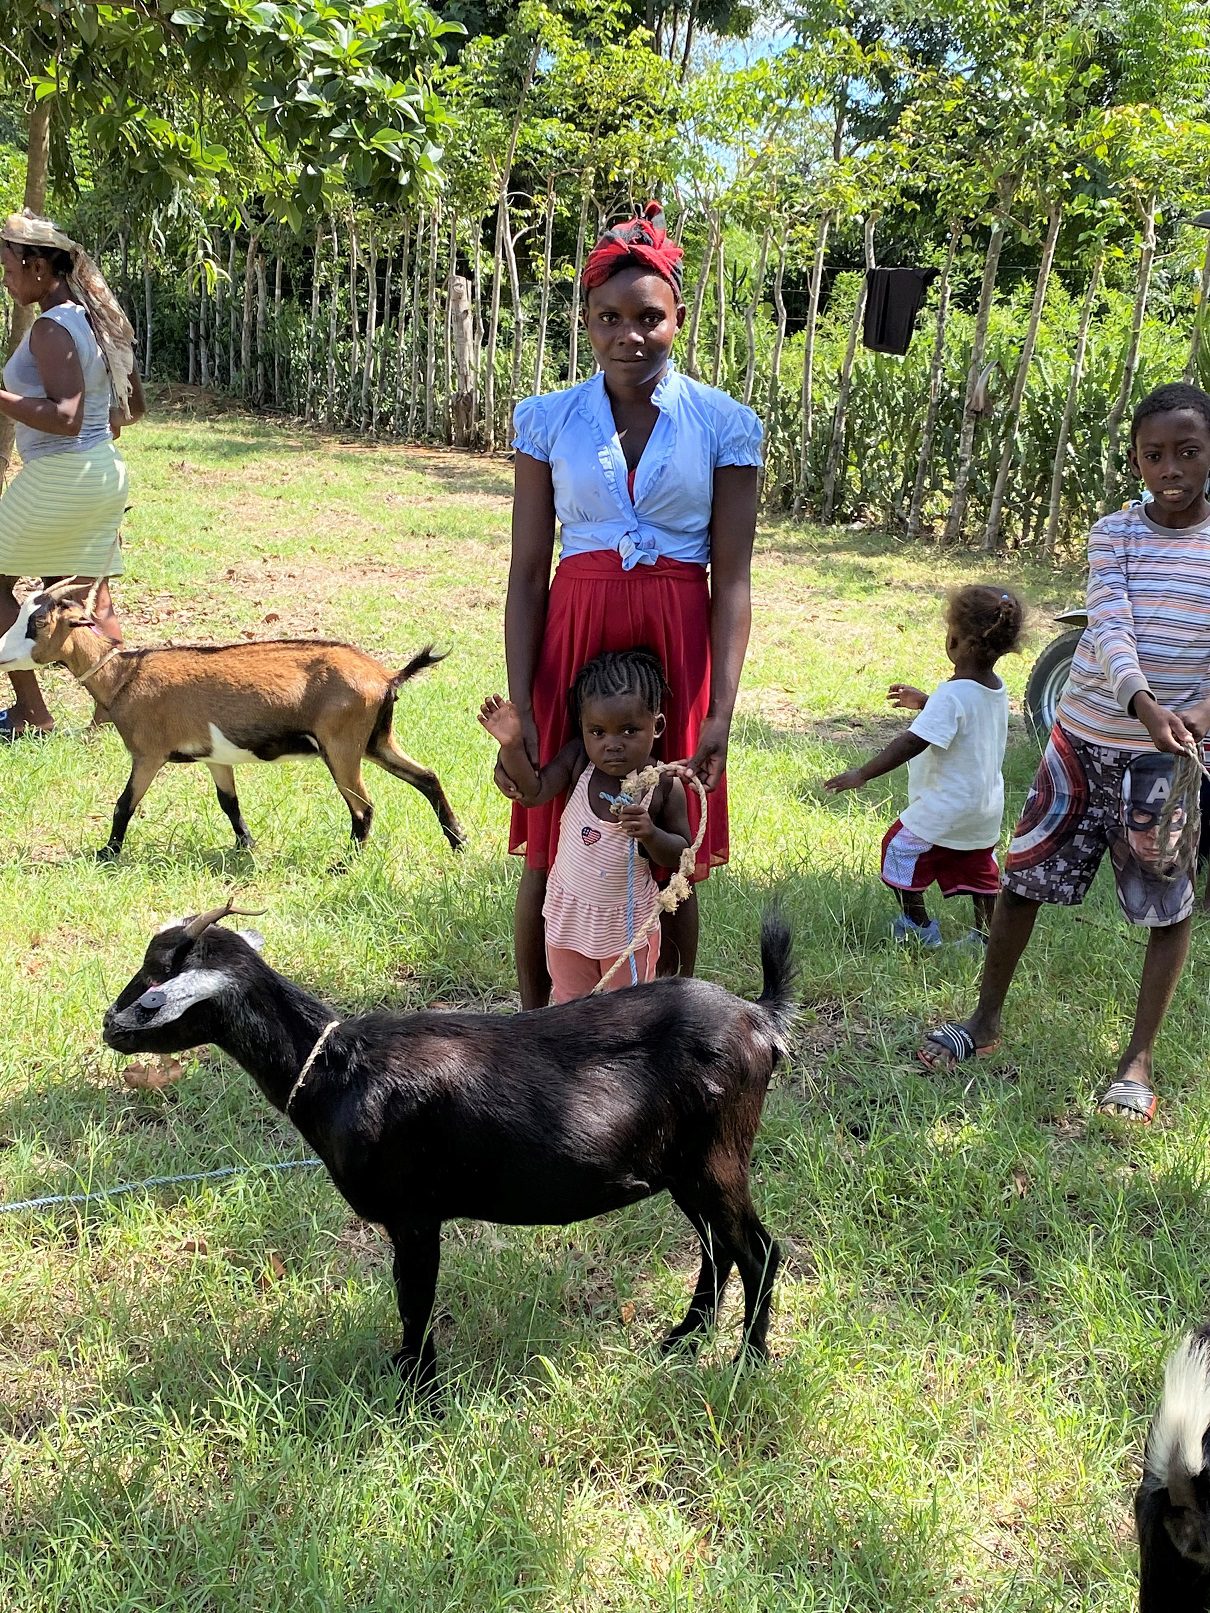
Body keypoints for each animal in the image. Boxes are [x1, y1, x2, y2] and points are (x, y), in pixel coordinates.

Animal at [0, 578, 464, 859]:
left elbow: (124, 804)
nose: (1, 652)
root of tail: (386, 676)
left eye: (37, 621)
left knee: (363, 806)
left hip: (342, 745)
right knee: (427, 777)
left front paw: (107, 854)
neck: (124, 677)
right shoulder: (215, 757)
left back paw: (345, 865)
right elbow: (229, 803)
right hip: (376, 740)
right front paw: (248, 846)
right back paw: (458, 841)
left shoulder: (148, 754)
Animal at [102, 899, 794, 1397]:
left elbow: (414, 1300)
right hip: (683, 1167)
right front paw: (407, 1377)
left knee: (759, 1250)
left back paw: (749, 1360)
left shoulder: (413, 1212)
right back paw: (684, 1341)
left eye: (157, 980)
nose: (109, 1025)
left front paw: (417, 1394)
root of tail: (760, 1018)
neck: (337, 1068)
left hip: (717, 1156)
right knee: (719, 1250)